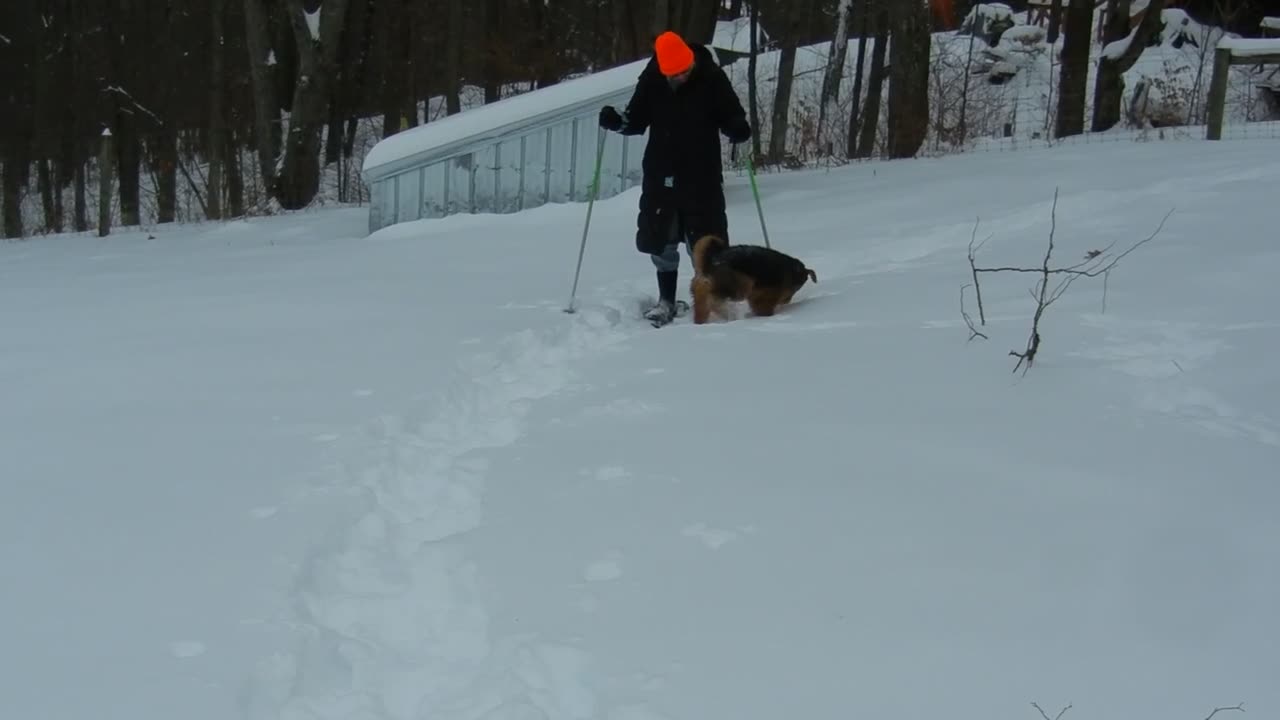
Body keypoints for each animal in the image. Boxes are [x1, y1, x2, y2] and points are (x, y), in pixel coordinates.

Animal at [691, 233, 819, 322]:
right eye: (797, 286)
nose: (786, 301)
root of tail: (708, 264)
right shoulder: (766, 294)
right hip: (741, 284)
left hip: (701, 296)